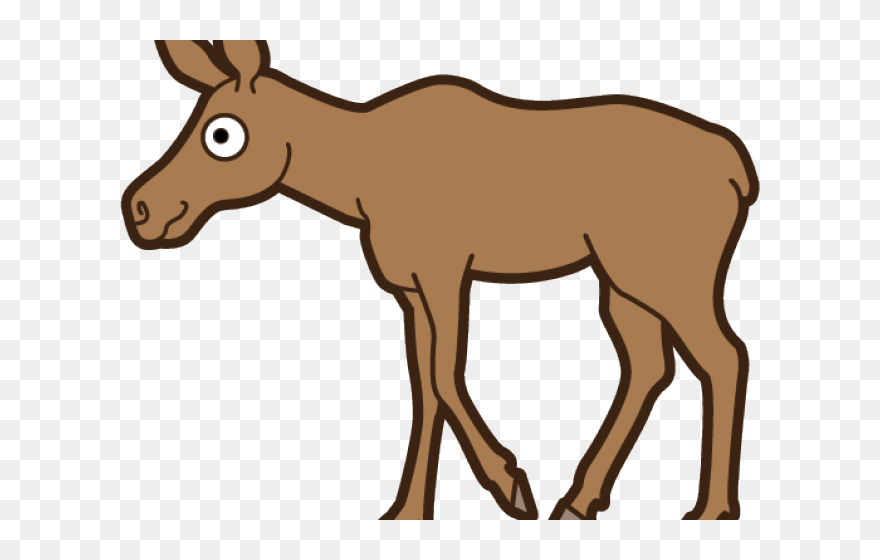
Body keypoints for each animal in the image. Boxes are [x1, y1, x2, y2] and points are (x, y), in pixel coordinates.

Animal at [122, 40, 759, 520]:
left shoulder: (445, 270)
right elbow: (424, 387)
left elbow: (445, 375)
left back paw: (712, 510)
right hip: (624, 282)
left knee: (724, 355)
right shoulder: (408, 289)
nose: (142, 209)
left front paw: (510, 485)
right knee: (651, 365)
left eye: (221, 134)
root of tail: (739, 169)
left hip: (670, 275)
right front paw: (408, 511)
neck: (355, 183)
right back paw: (581, 499)